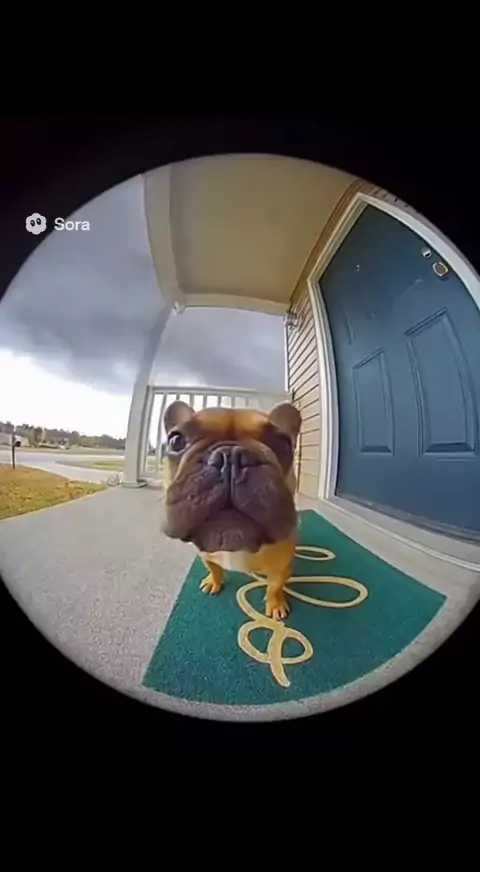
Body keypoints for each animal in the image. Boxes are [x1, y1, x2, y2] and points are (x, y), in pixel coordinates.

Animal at [161, 400, 301, 620]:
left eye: (284, 443)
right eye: (176, 441)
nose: (230, 456)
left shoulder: (282, 568)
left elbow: (275, 587)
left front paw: (275, 603)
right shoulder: (206, 555)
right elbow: (214, 569)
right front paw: (214, 582)